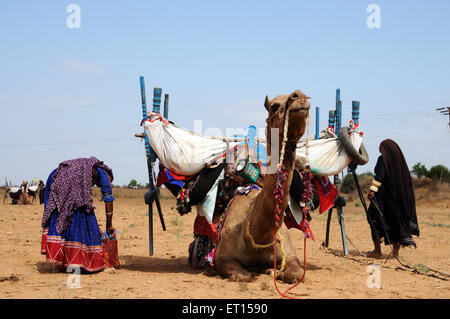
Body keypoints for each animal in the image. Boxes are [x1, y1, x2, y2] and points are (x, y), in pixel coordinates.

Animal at [214, 89, 310, 284]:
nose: (299, 96)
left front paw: (272, 271)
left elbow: (296, 274)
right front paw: (257, 271)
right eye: (274, 106)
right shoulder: (221, 257)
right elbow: (243, 275)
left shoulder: (290, 254)